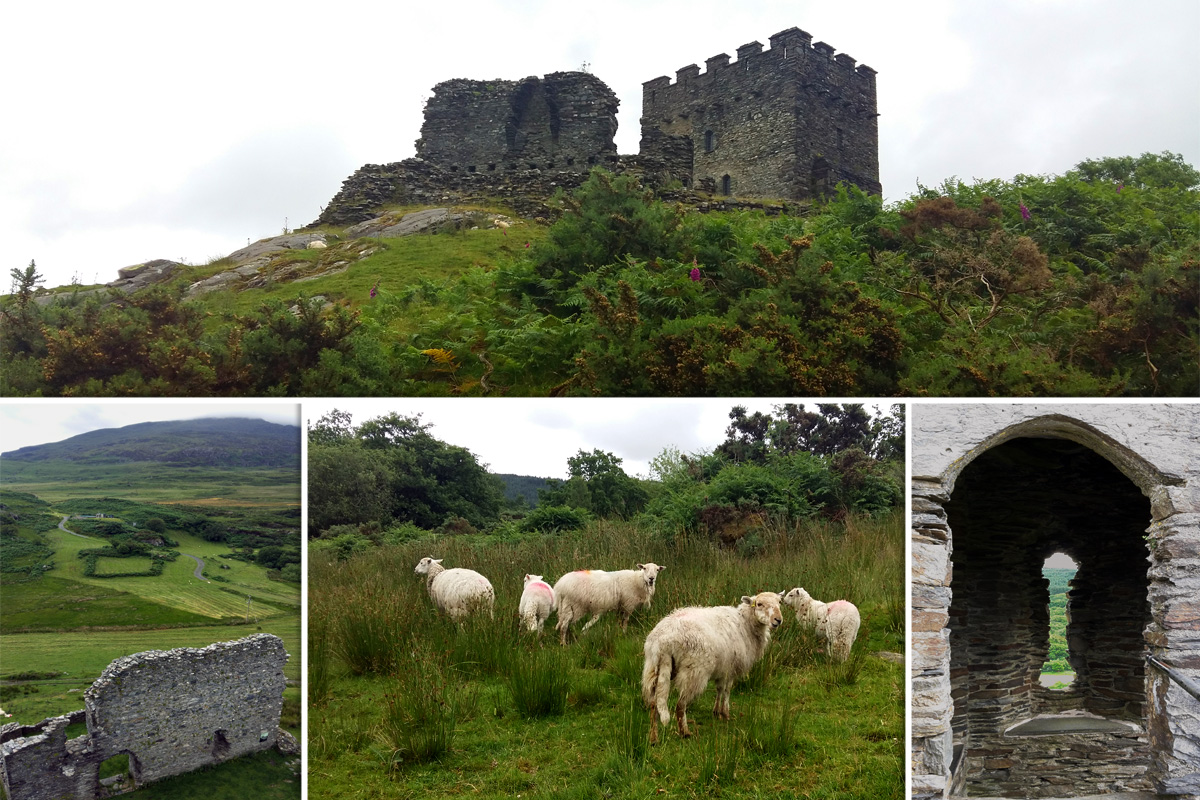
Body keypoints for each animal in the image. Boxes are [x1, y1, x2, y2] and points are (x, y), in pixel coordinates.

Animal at [638, 592, 787, 748]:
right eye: (759, 604)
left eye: (779, 602)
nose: (778, 620)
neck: (745, 623)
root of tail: (664, 641)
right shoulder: (731, 669)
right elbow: (727, 690)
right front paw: (725, 713)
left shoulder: (723, 668)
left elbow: (719, 689)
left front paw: (716, 711)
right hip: (694, 672)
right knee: (680, 705)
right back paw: (684, 732)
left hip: (653, 668)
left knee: (654, 705)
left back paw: (654, 738)